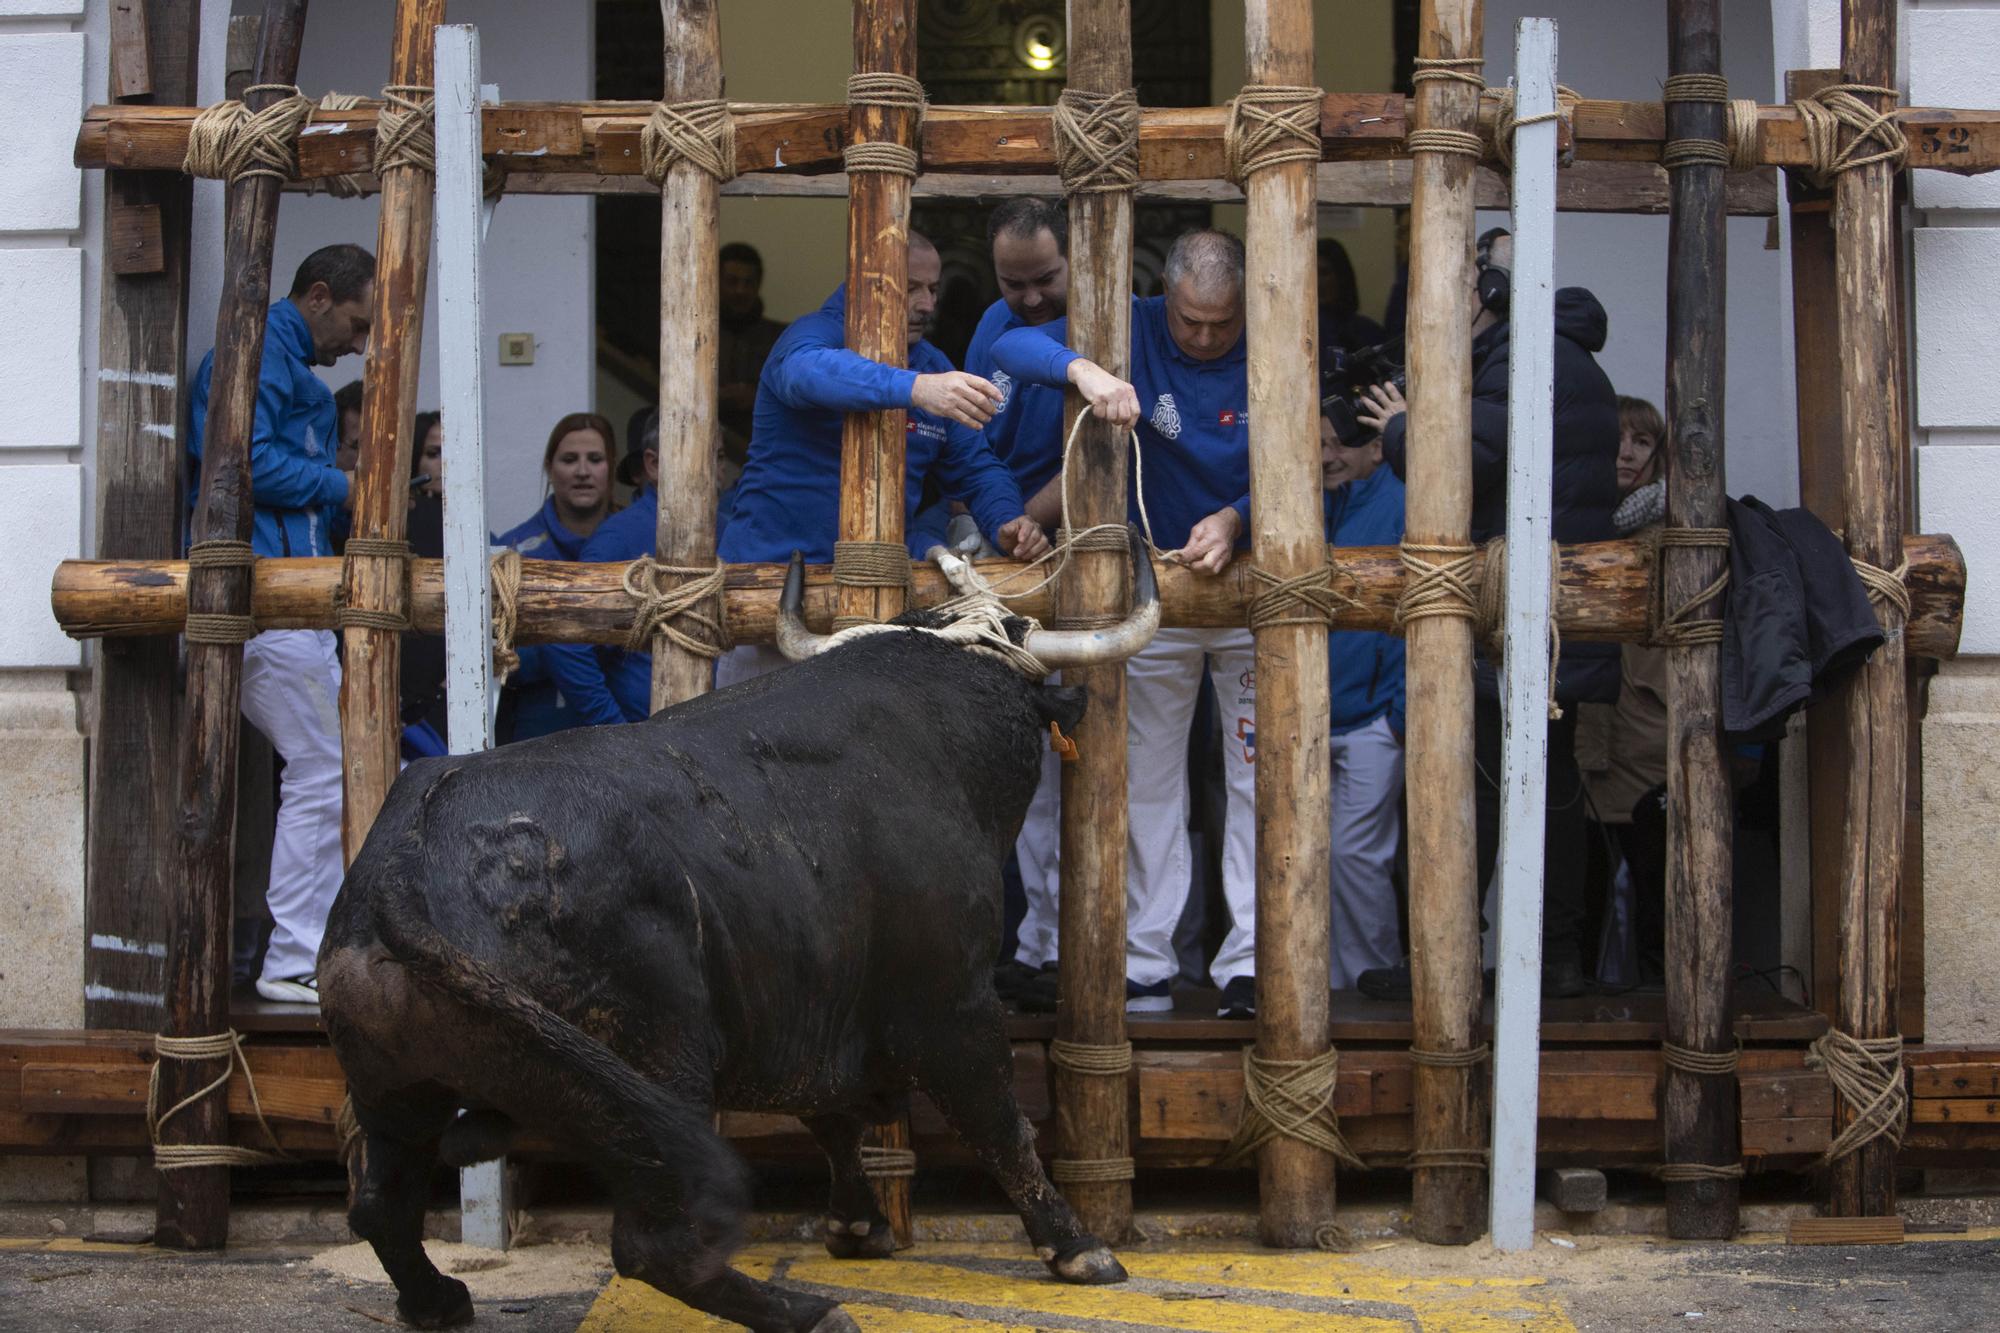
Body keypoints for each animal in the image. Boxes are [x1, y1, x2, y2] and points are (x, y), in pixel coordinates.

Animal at [316, 536, 1160, 1320]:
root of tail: (417, 845)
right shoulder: (953, 1006)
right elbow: (1001, 1123)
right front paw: (1078, 1247)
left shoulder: (819, 1006)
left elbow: (833, 1118)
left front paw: (856, 1225)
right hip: (649, 1084)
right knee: (656, 1245)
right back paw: (807, 1312)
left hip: (399, 1092)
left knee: (381, 1205)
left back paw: (437, 1298)